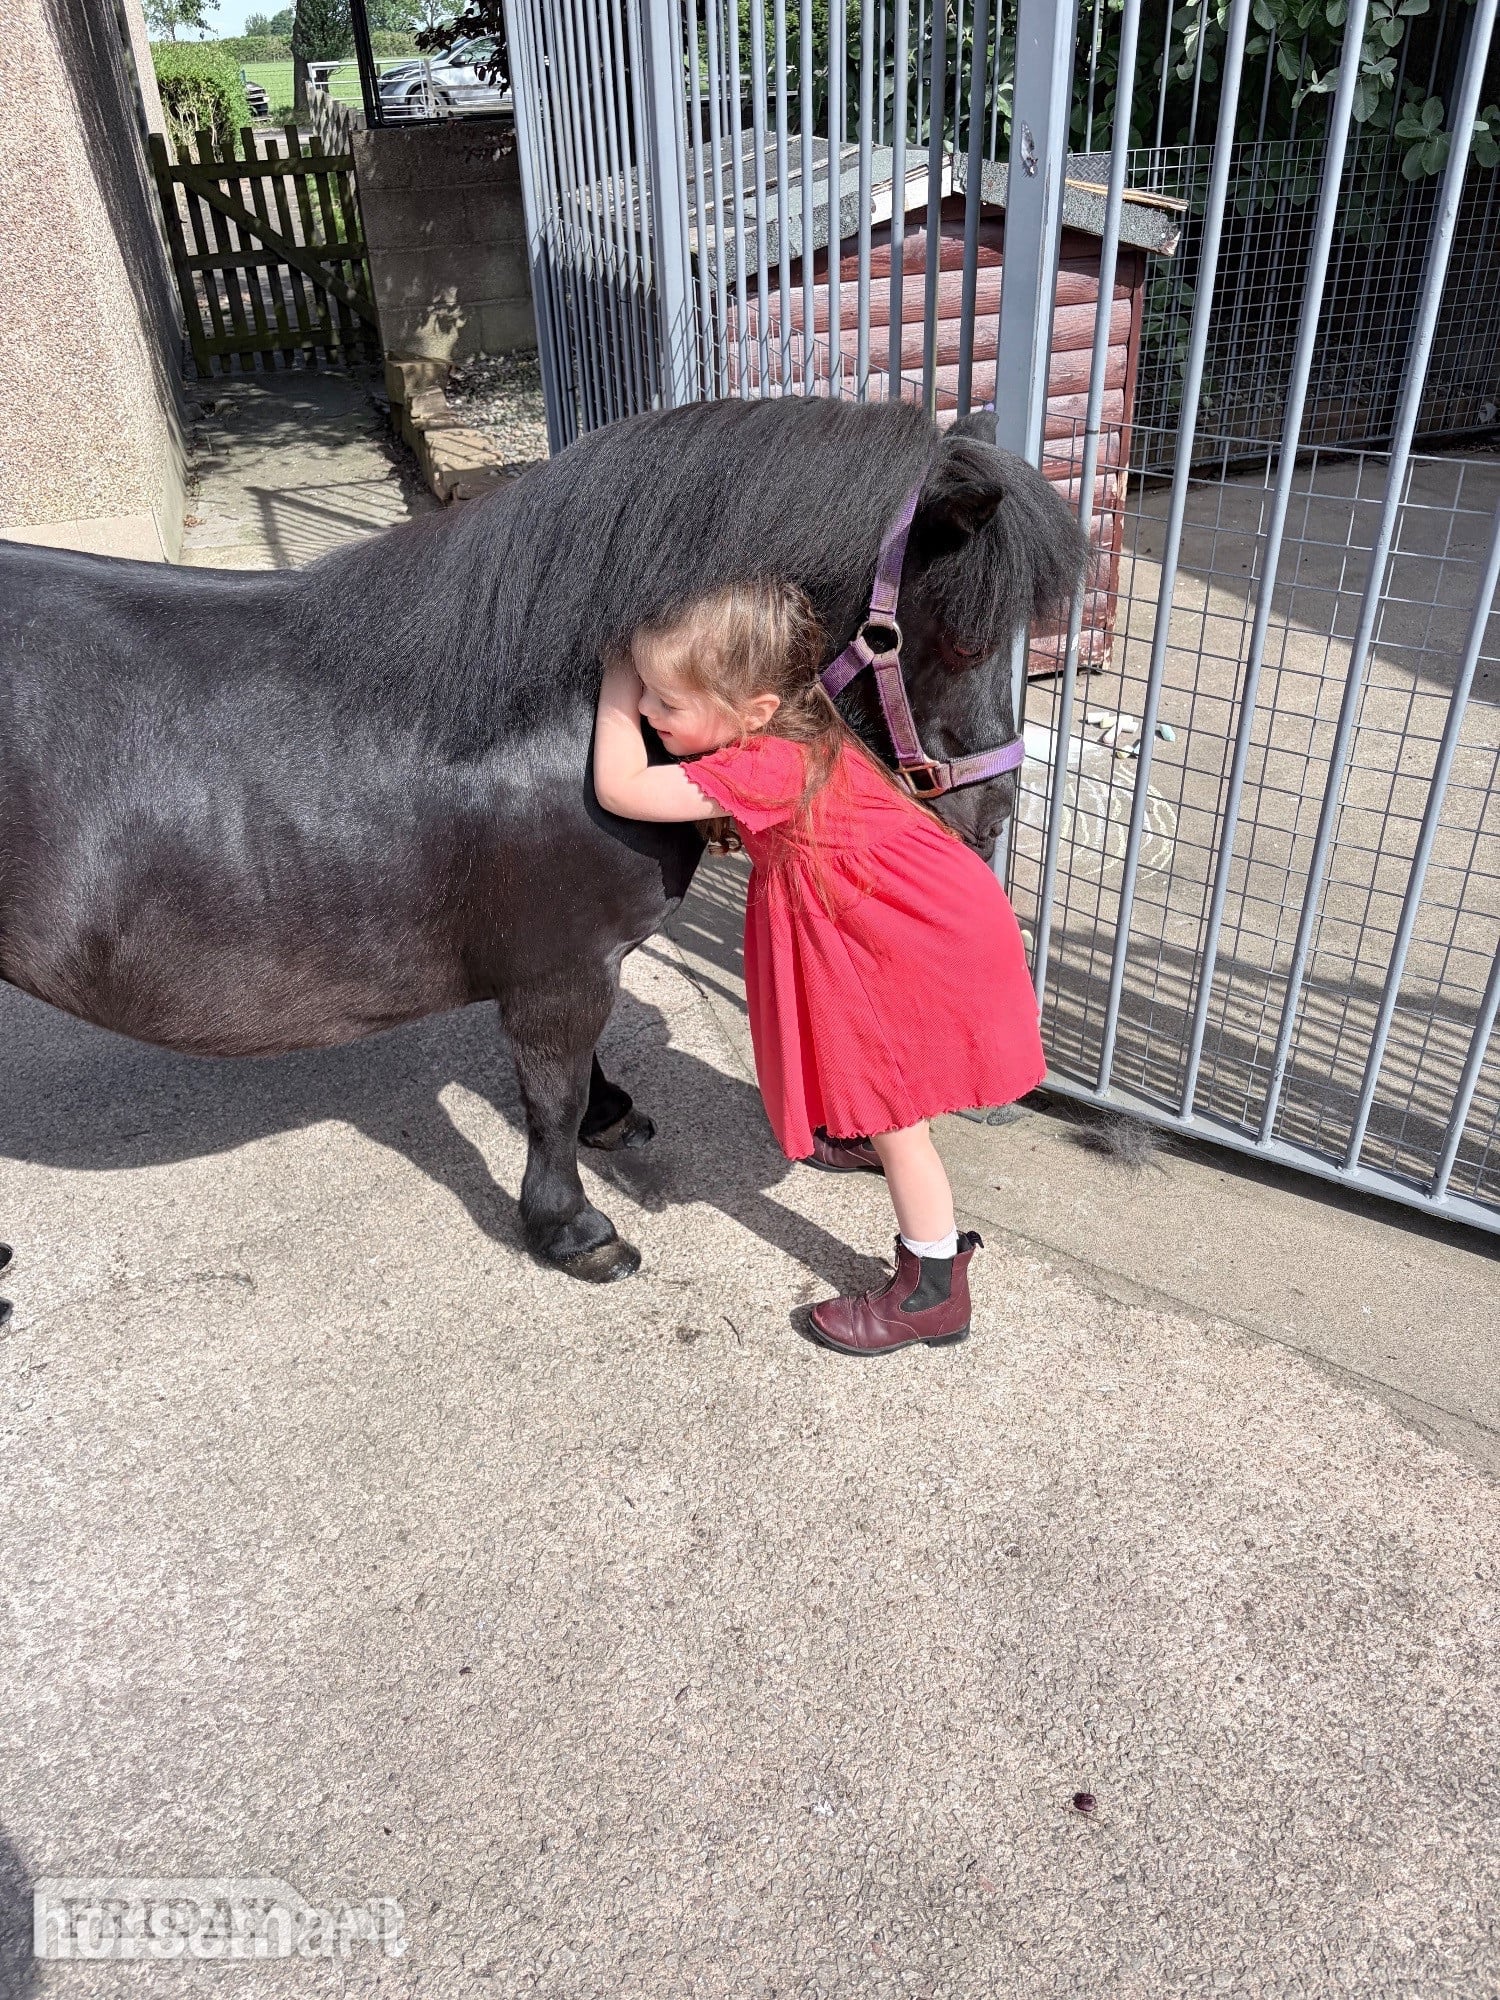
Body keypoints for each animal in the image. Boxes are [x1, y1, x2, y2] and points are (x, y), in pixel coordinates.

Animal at [0, 395, 1086, 1292]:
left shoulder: (573, 961)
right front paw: (572, 1227)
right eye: (960, 640)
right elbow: (550, 1095)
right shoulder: (558, 971)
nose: (994, 815)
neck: (546, 715)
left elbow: (581, 1078)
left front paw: (611, 1118)